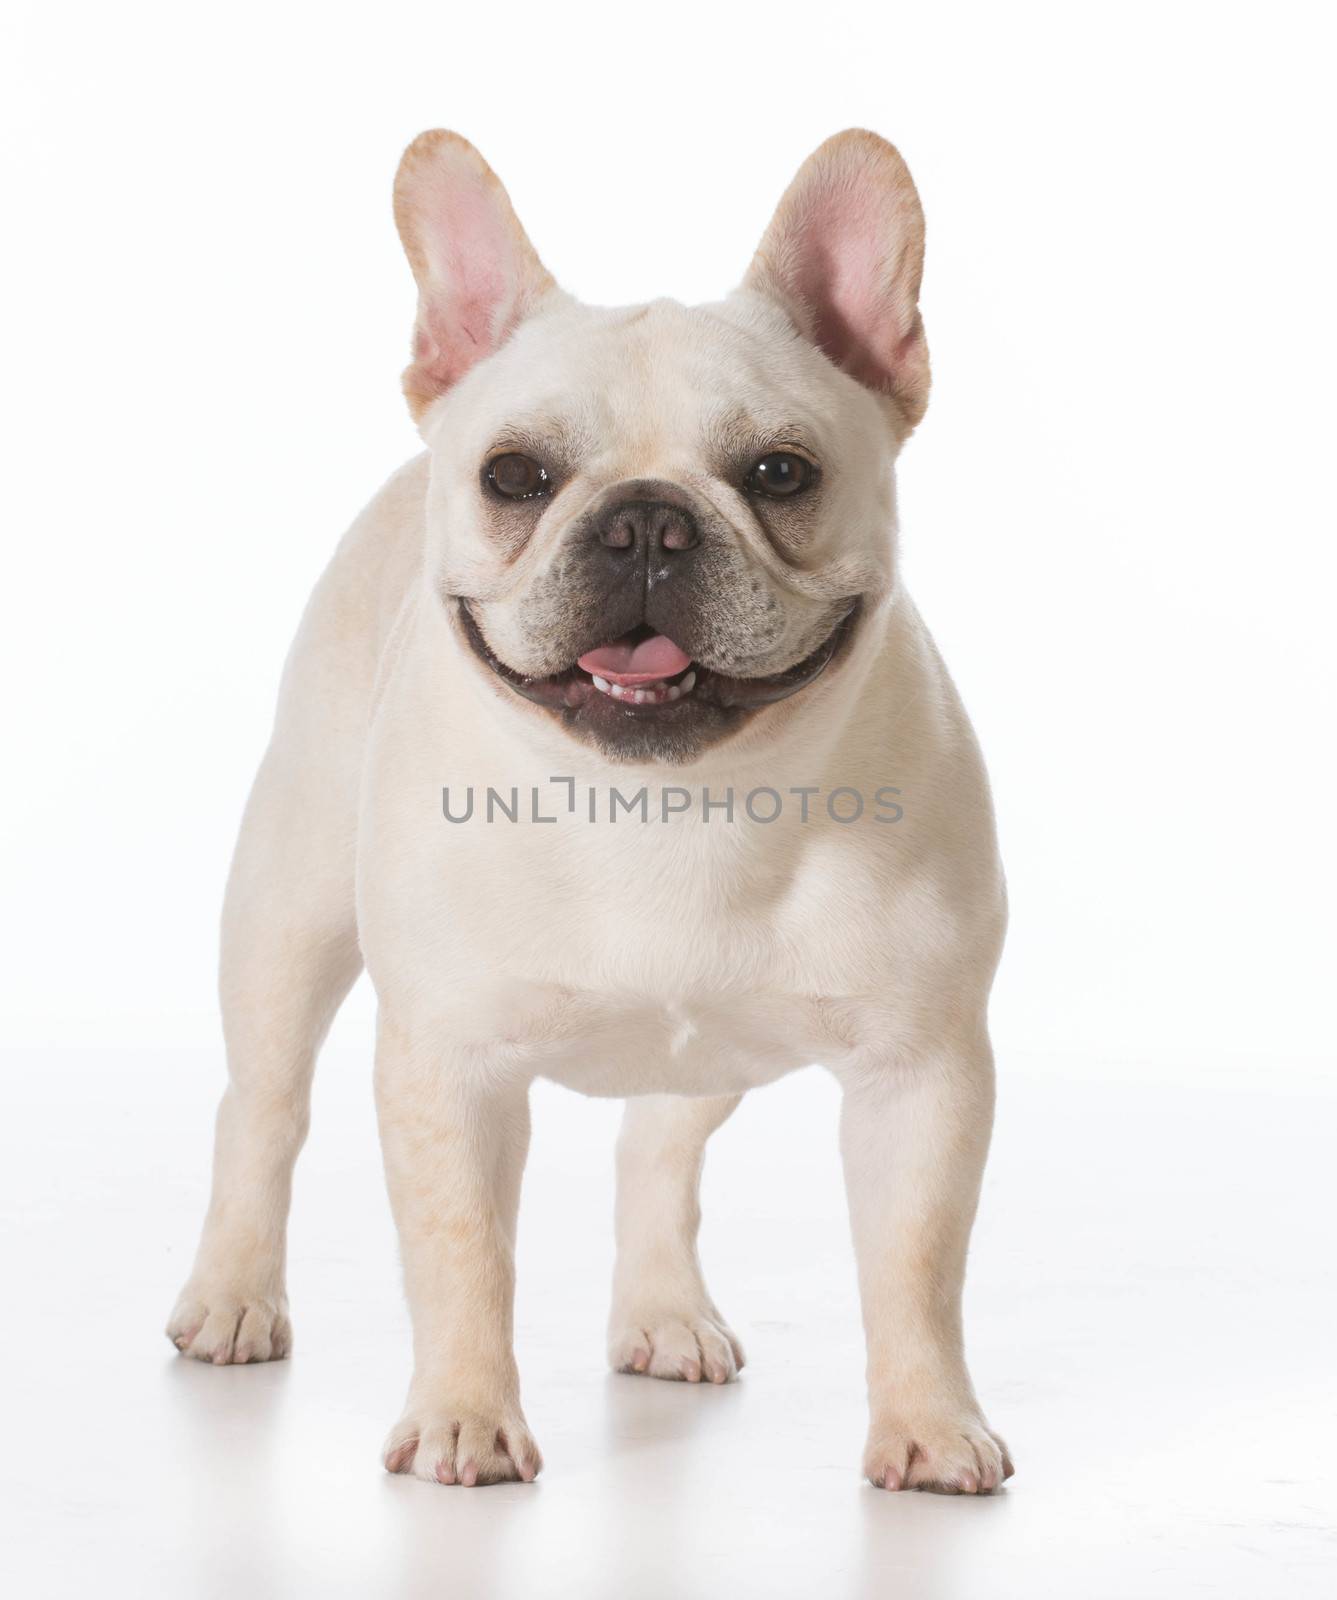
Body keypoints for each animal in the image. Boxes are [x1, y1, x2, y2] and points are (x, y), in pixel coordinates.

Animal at [172, 131, 1017, 1491]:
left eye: (780, 471)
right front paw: (464, 1418)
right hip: (284, 912)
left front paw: (931, 1426)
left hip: (707, 1051)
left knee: (657, 1150)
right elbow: (461, 1252)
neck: (670, 804)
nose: (646, 520)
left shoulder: (921, 1073)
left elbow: (914, 1263)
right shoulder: (448, 1066)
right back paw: (232, 1295)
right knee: (260, 1106)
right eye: (514, 476)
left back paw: (663, 1312)